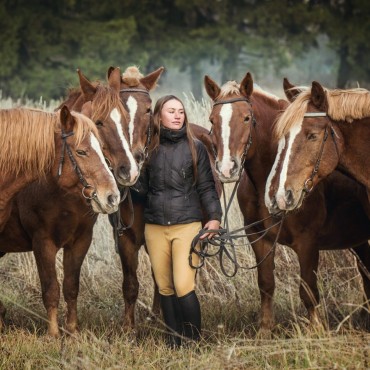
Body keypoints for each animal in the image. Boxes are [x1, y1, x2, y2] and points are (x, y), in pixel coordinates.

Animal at [0, 67, 133, 338]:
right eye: (100, 122)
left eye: (126, 119)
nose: (127, 171)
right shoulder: (42, 242)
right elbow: (51, 287)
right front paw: (53, 333)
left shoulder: (80, 240)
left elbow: (71, 285)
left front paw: (72, 330)